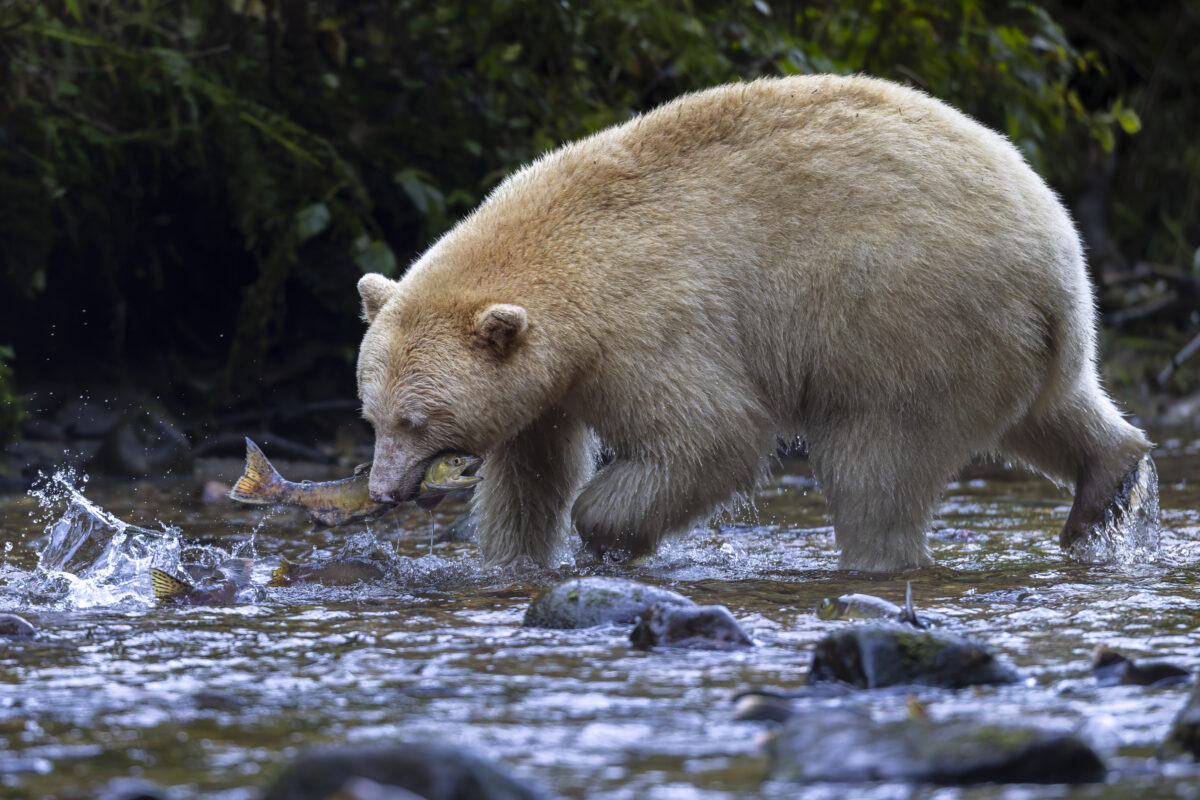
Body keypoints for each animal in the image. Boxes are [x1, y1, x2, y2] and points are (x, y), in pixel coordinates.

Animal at [355, 74, 1156, 572]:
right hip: (1011, 339)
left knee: (877, 463)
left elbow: (713, 433)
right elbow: (530, 473)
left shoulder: (653, 323)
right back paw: (1106, 484)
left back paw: (875, 557)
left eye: (416, 422)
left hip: (911, 321)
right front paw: (511, 559)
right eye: (373, 414)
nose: (383, 491)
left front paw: (605, 532)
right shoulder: (546, 384)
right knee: (1053, 412)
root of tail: (1059, 259)